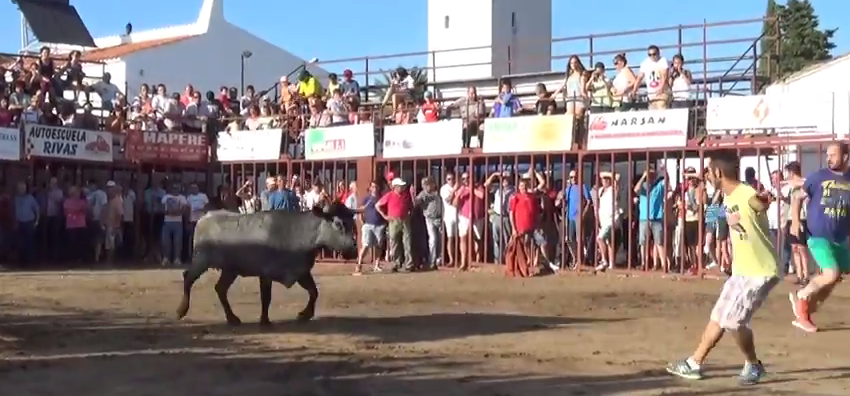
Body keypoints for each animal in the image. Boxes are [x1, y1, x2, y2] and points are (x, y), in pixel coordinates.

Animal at [176, 203, 354, 326]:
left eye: (352, 223)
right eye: (338, 224)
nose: (353, 249)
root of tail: (204, 218)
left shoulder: (301, 271)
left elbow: (314, 292)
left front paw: (305, 314)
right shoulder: (266, 273)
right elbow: (266, 297)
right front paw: (264, 320)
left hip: (230, 270)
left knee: (220, 289)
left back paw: (232, 318)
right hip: (201, 260)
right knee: (188, 278)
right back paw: (181, 310)